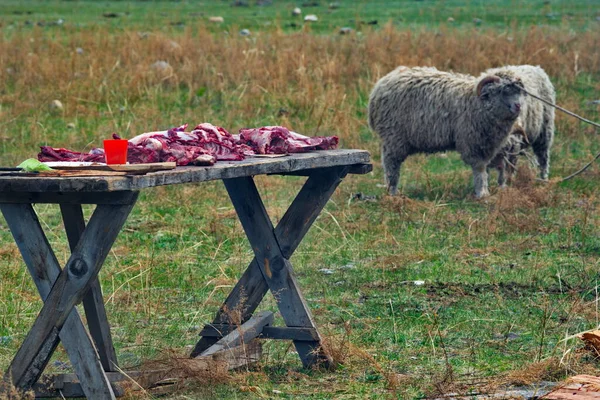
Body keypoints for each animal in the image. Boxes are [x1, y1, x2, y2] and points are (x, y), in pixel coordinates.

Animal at [368, 66, 528, 199]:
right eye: (503, 91)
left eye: (518, 91)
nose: (518, 106)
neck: (478, 103)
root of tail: (378, 88)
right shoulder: (474, 143)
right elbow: (480, 169)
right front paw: (482, 193)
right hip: (394, 137)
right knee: (391, 165)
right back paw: (392, 192)